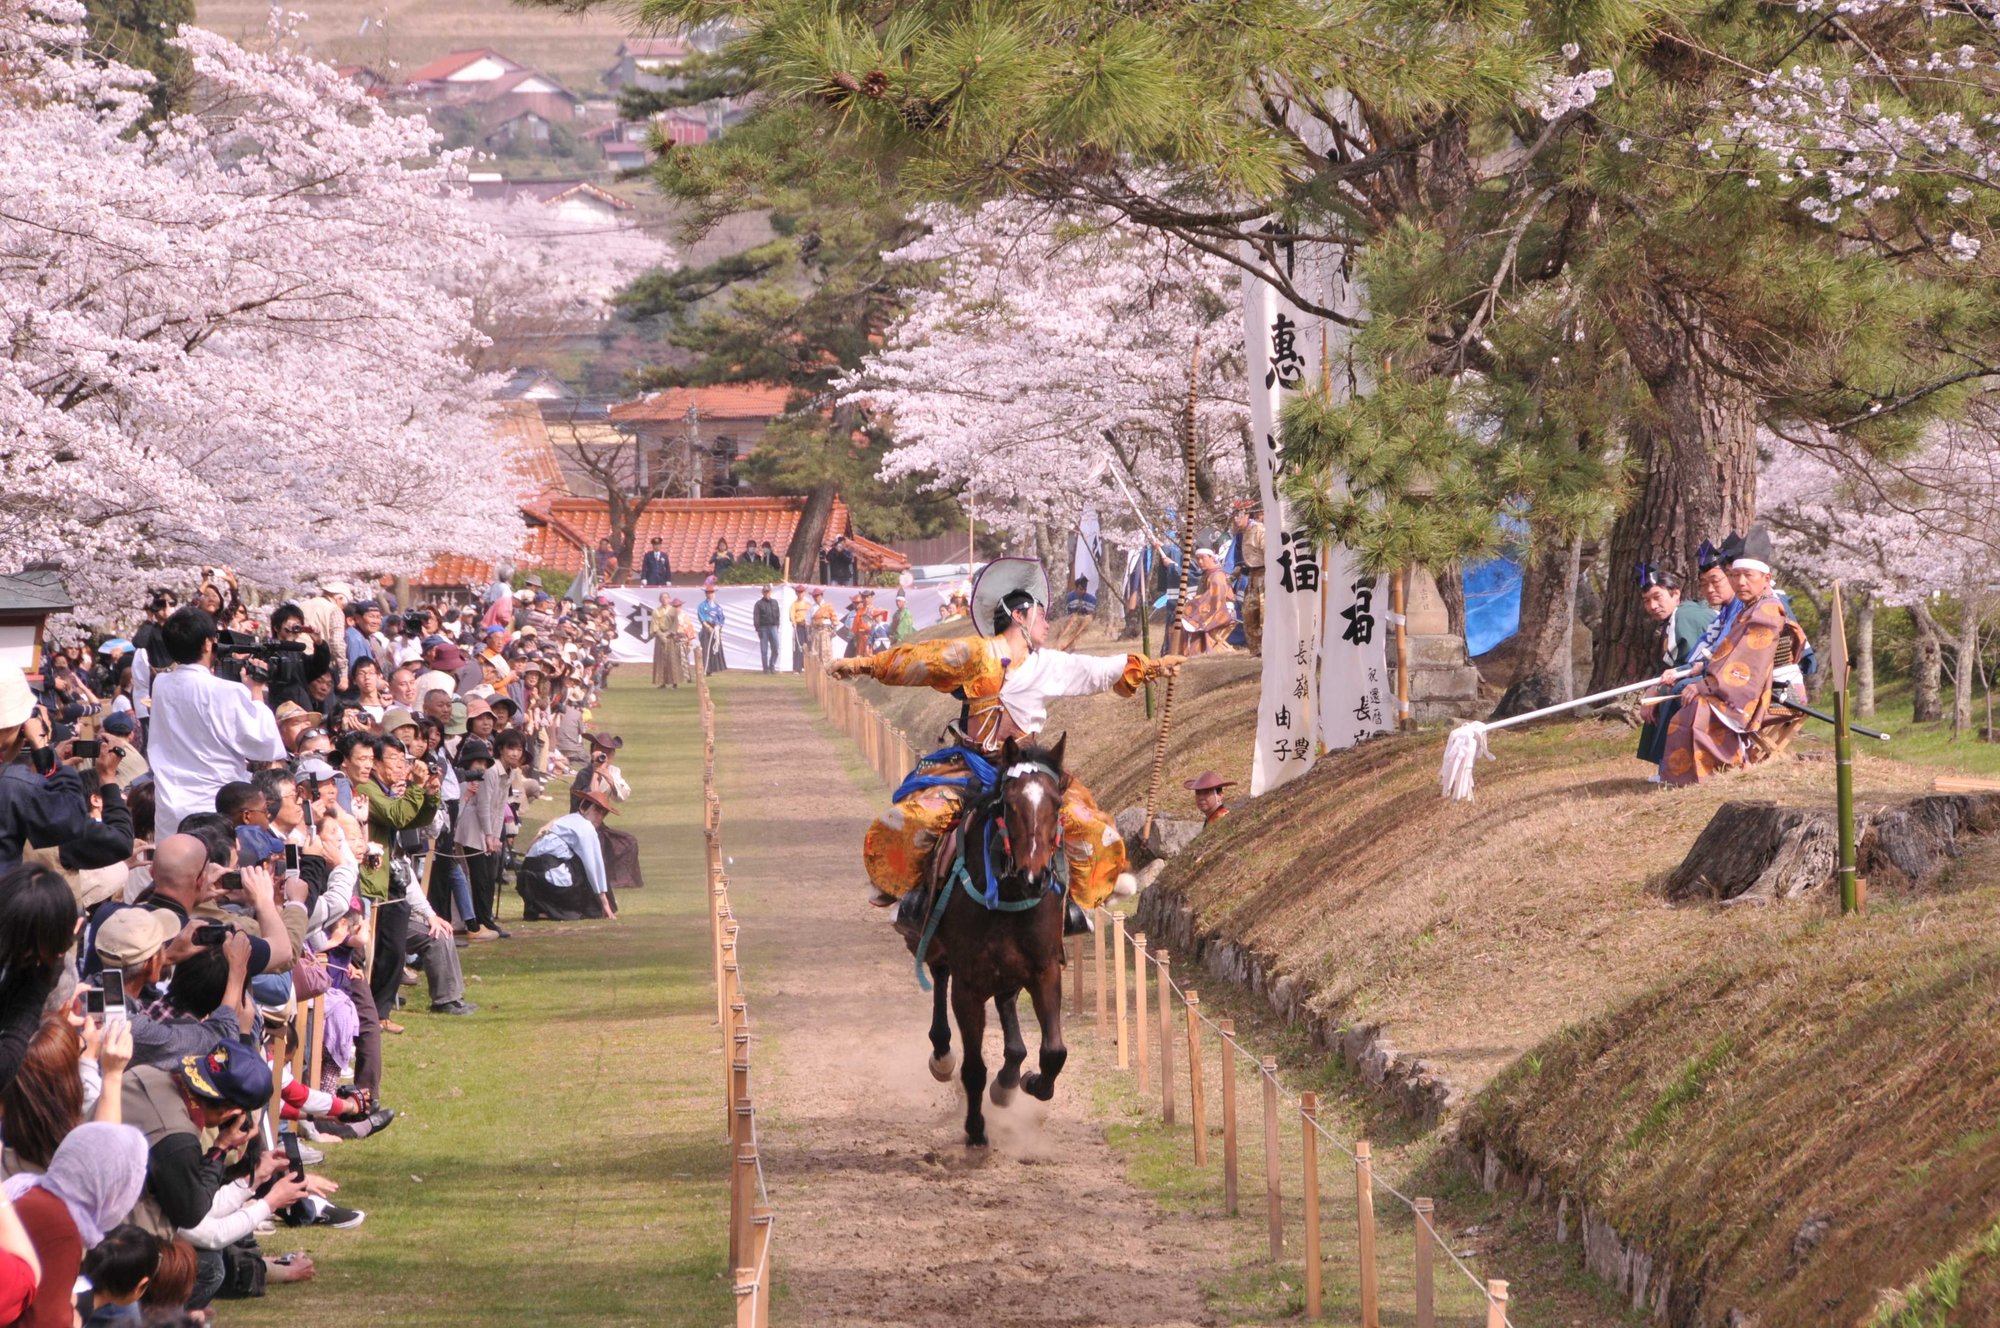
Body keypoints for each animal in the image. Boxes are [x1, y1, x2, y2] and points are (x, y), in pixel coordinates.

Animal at [904, 732, 1072, 1144]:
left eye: (1057, 802)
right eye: (1009, 803)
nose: (1035, 875)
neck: (1009, 895)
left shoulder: (1045, 970)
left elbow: (1054, 1052)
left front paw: (1029, 1081)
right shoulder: (969, 985)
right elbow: (974, 1067)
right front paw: (976, 1130)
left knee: (1007, 1002)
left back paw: (1010, 1074)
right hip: (939, 946)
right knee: (941, 978)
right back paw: (943, 1054)